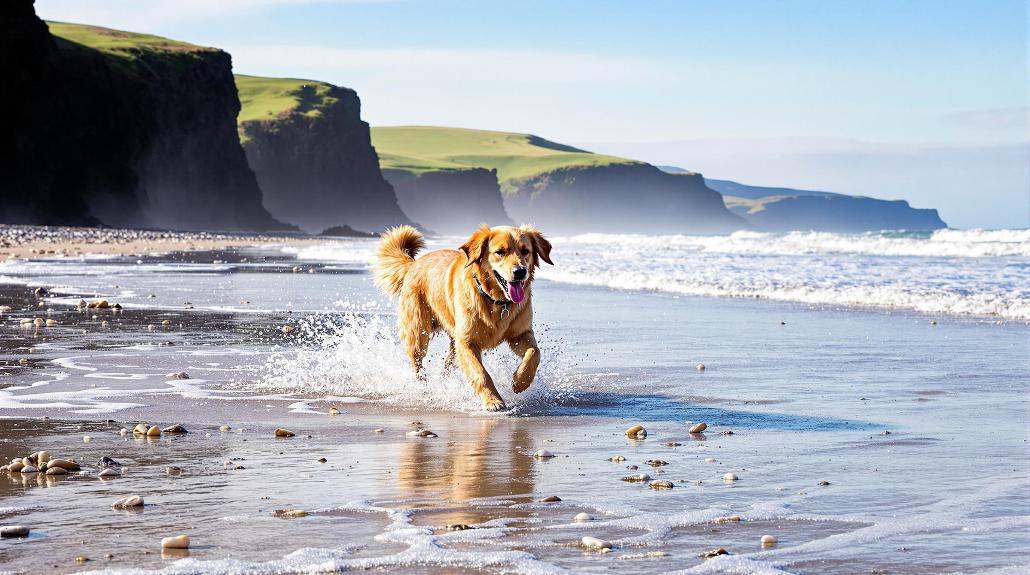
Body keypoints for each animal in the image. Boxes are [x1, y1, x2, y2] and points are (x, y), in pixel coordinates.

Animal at [376, 224, 556, 410]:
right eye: (500, 252)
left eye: (525, 251)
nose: (520, 271)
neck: (496, 301)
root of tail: (413, 265)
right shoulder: (467, 342)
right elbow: (480, 373)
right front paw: (493, 400)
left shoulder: (520, 334)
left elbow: (534, 353)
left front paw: (520, 381)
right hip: (418, 333)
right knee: (416, 362)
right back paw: (423, 387)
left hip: (452, 341)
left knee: (448, 363)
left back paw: (444, 383)